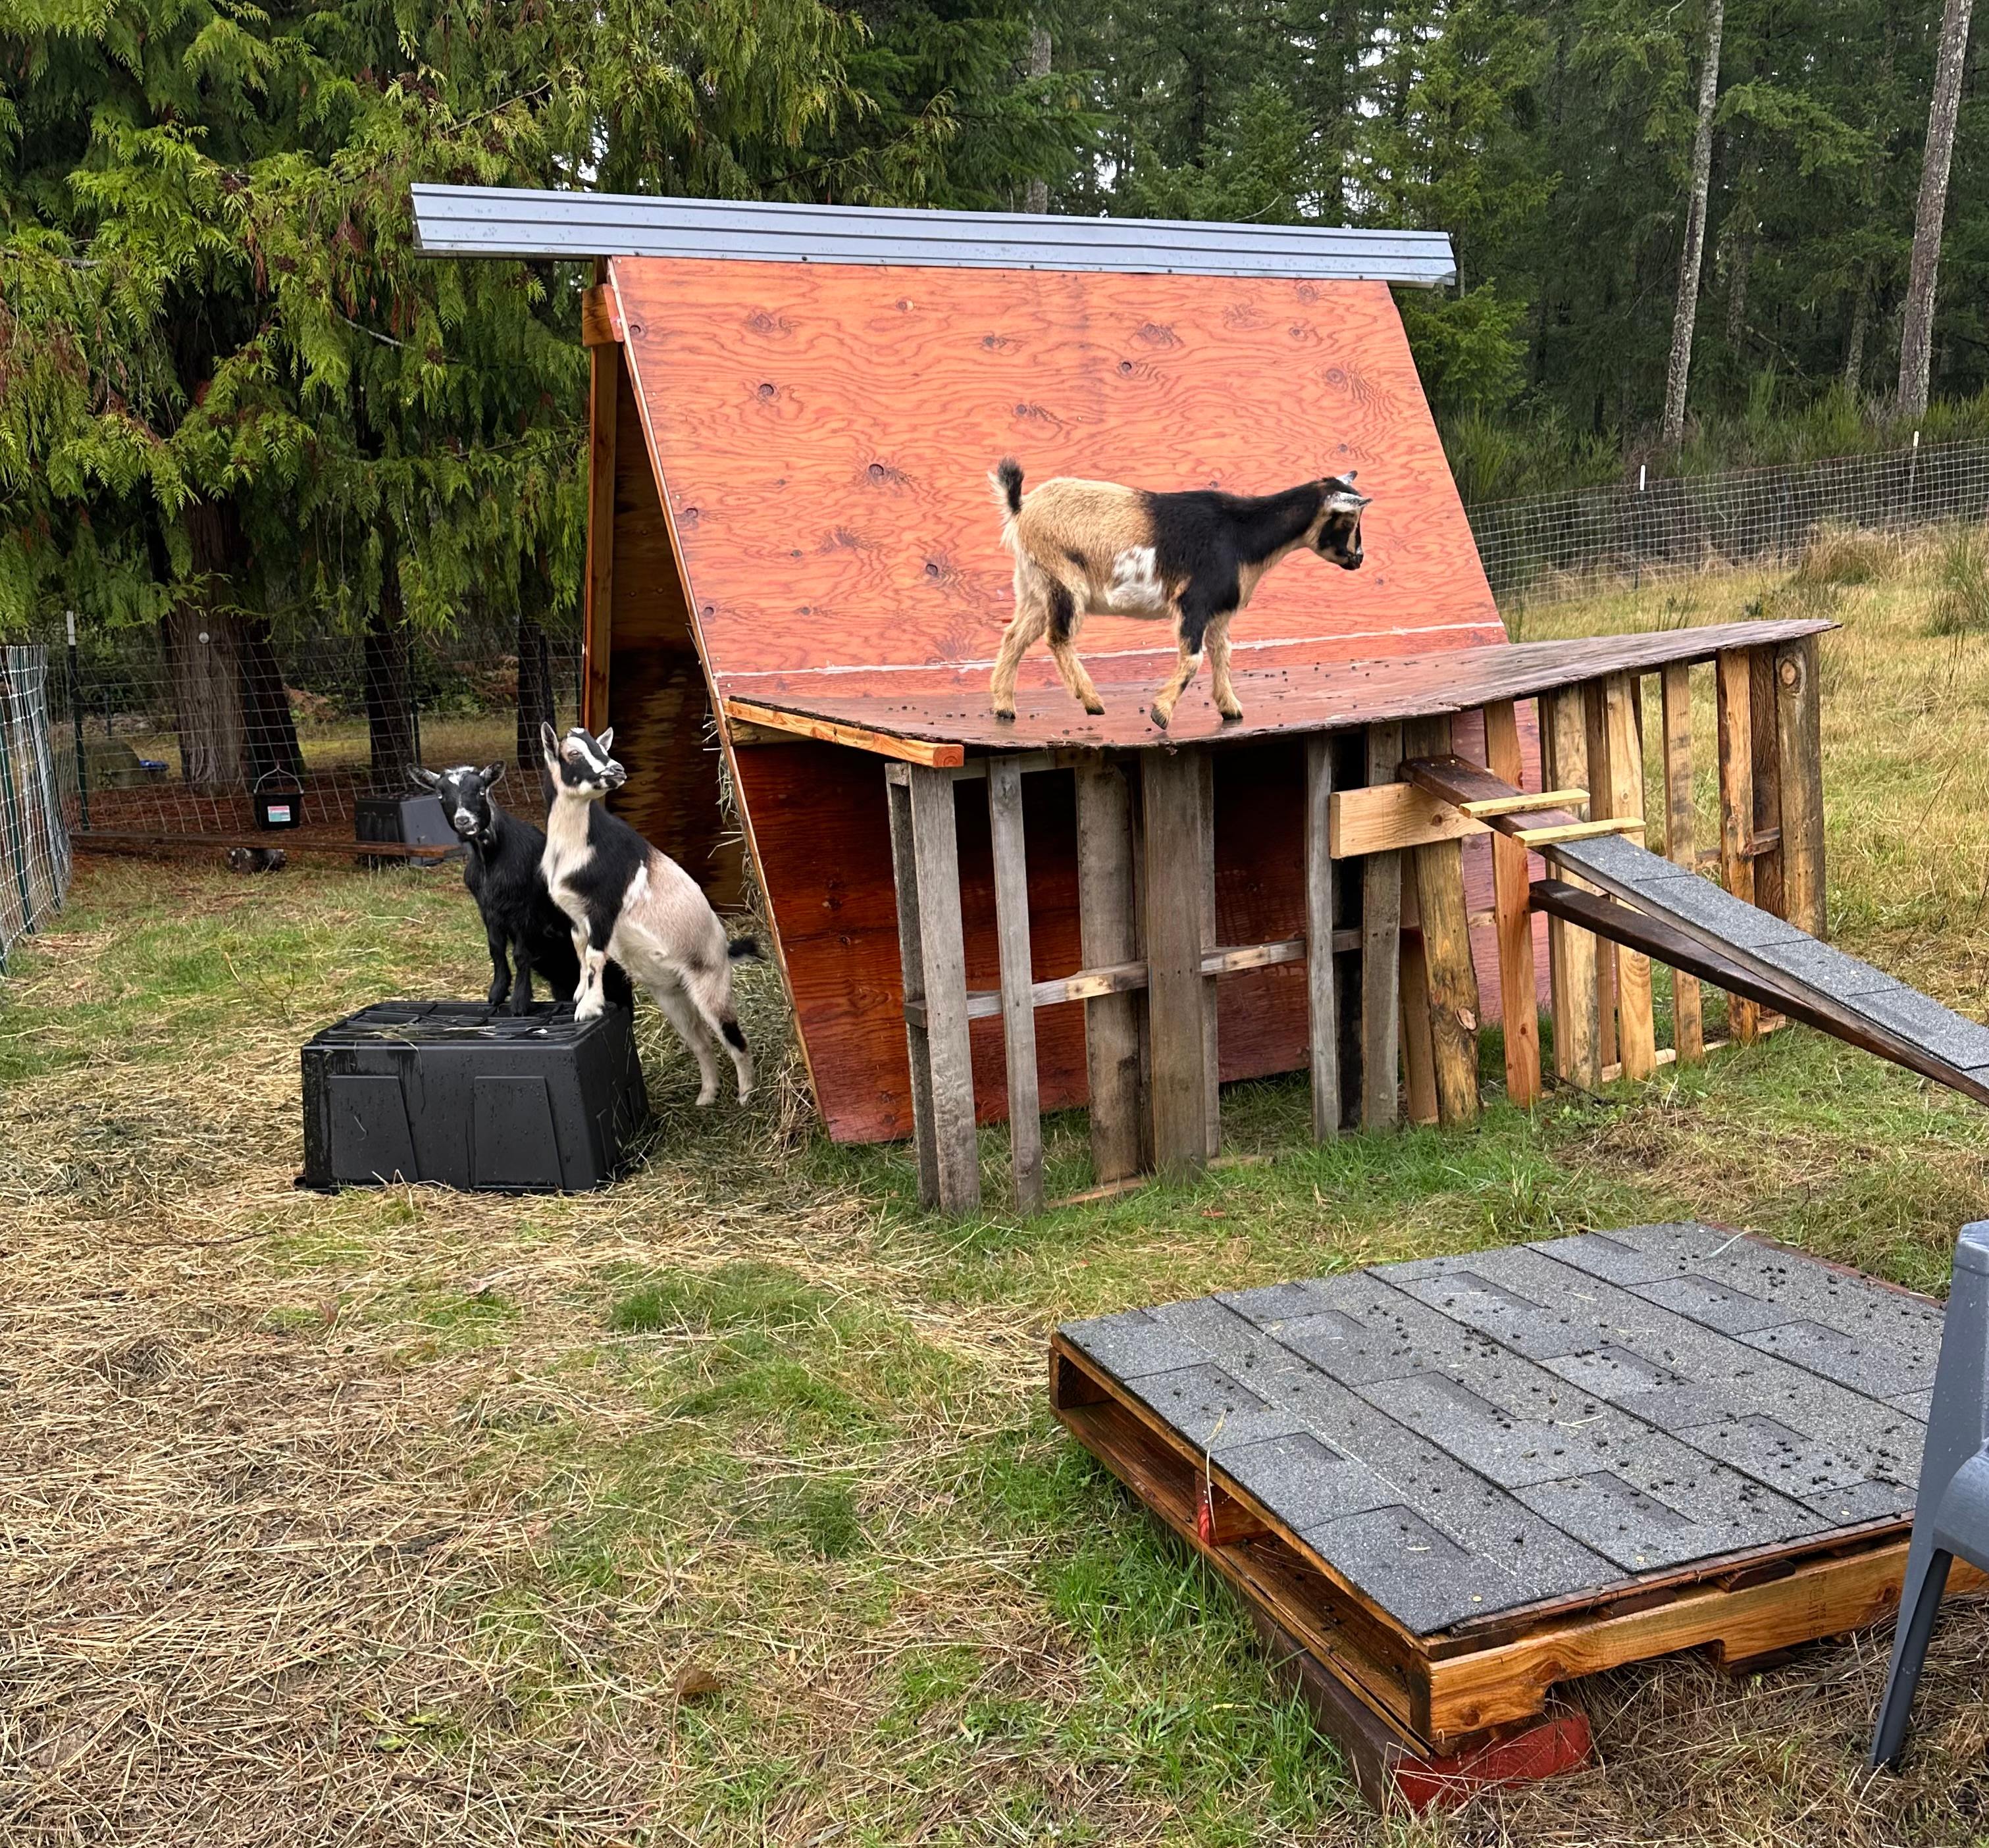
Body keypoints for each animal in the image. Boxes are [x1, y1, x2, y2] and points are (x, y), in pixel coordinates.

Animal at [409, 761, 631, 1016]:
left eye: (481, 791)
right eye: (440, 794)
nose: (464, 820)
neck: (490, 859)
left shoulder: (525, 912)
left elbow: (521, 955)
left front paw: (520, 1002)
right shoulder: (489, 911)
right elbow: (496, 949)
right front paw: (497, 993)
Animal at [537, 724, 760, 1105]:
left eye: (600, 745)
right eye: (574, 754)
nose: (616, 771)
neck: (577, 845)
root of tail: (724, 948)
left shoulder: (605, 907)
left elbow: (595, 957)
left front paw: (589, 1008)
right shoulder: (578, 916)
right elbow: (581, 951)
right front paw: (580, 995)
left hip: (711, 985)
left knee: (735, 1038)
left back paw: (746, 1095)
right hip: (672, 996)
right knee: (701, 1043)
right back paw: (706, 1097)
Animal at [987, 459, 1370, 728]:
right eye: (1349, 521)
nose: (1359, 559)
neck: (1241, 534)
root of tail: (1021, 508)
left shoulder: (1219, 612)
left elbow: (1222, 654)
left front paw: (1231, 709)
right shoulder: (1194, 602)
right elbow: (1194, 658)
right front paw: (1161, 713)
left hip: (1034, 585)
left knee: (1014, 636)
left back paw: (1004, 706)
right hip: (1064, 581)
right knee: (1058, 638)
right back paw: (1092, 701)